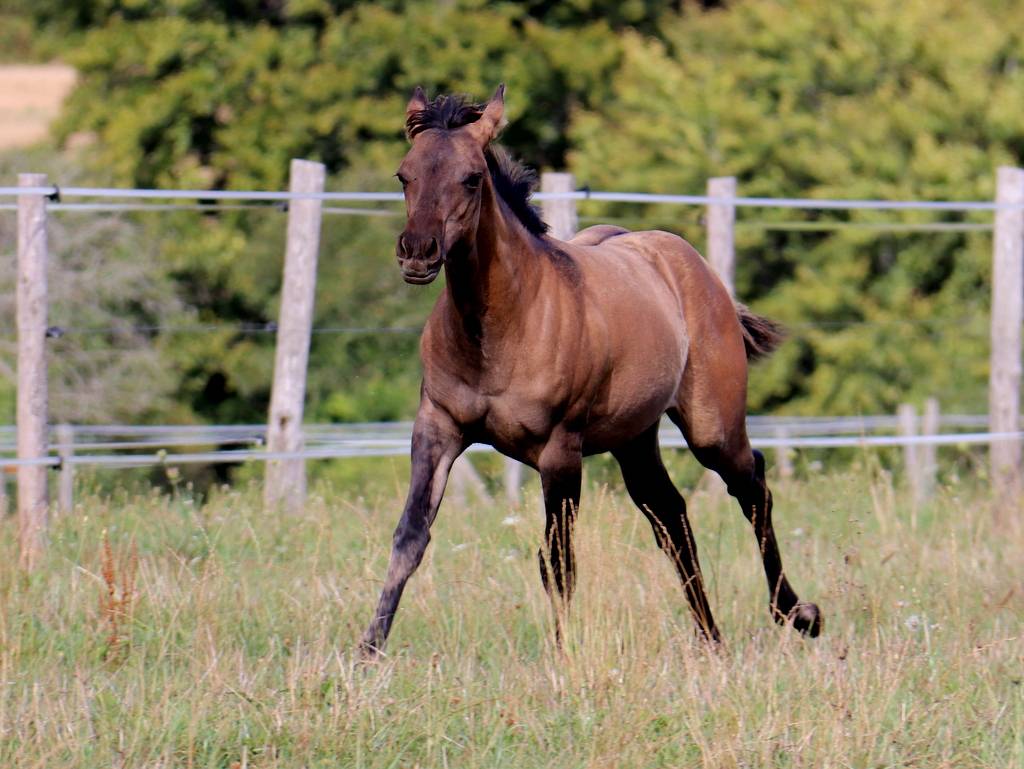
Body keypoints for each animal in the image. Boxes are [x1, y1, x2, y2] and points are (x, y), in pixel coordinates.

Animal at [359, 85, 822, 656]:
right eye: (404, 174)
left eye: (471, 177)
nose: (418, 253)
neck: (502, 328)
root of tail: (697, 268)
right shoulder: (437, 427)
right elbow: (410, 536)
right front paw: (367, 651)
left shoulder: (559, 450)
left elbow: (557, 560)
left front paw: (562, 654)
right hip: (634, 438)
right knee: (670, 514)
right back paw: (711, 637)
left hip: (711, 427)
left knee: (752, 484)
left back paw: (798, 614)